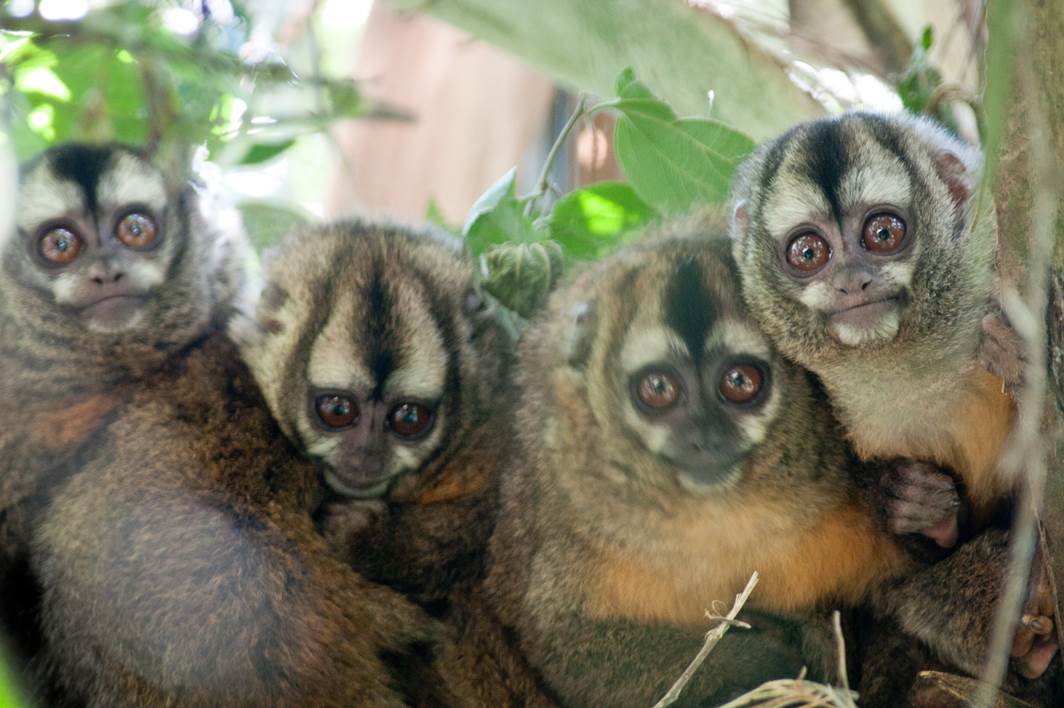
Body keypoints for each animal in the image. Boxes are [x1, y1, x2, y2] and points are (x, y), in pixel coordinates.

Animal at [483, 227, 1053, 707]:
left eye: (739, 382)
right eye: (659, 388)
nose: (706, 436)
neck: (723, 507)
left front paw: (920, 511)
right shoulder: (566, 507)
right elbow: (566, 645)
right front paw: (773, 652)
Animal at [728, 112, 1059, 683]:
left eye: (883, 233)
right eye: (809, 252)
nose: (851, 282)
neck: (909, 363)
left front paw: (1011, 348)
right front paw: (911, 500)